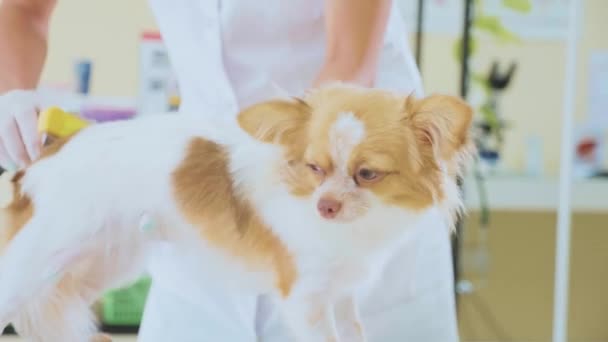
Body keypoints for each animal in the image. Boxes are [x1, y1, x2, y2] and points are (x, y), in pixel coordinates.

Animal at [0, 83, 476, 342]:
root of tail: (48, 155)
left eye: (367, 174)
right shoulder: (306, 300)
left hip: (102, 263)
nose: (325, 204)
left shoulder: (340, 294)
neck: (349, 230)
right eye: (315, 168)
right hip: (35, 264)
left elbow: (353, 331)